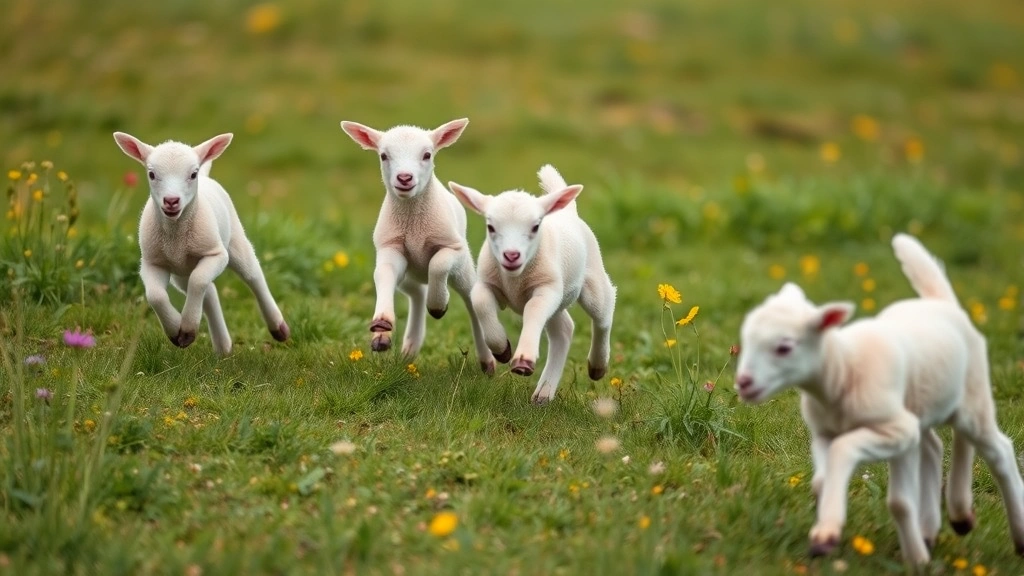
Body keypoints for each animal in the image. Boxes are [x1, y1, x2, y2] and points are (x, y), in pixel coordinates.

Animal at [112, 131, 289, 356]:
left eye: (192, 174)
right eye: (151, 174)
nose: (171, 201)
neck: (176, 234)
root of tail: (207, 176)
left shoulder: (216, 254)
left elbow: (198, 281)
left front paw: (187, 328)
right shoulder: (152, 262)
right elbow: (156, 296)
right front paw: (177, 331)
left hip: (235, 241)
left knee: (253, 276)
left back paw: (279, 328)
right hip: (181, 272)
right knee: (209, 290)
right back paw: (223, 347)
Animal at [339, 118, 491, 364]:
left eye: (427, 155)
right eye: (383, 155)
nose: (404, 178)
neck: (414, 228)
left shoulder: (453, 247)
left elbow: (438, 264)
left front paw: (438, 305)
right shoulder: (390, 247)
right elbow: (383, 274)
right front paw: (382, 324)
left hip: (464, 268)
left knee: (470, 300)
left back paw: (488, 358)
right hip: (410, 275)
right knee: (416, 294)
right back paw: (405, 346)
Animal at [449, 164, 616, 404]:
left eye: (536, 227)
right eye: (490, 227)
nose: (511, 255)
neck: (515, 279)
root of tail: (568, 212)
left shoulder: (547, 288)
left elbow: (533, 310)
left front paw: (523, 360)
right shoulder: (486, 282)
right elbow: (480, 303)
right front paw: (502, 349)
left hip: (592, 279)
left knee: (604, 313)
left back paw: (597, 366)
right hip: (559, 301)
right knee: (563, 330)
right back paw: (544, 393)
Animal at [734, 233, 1024, 565]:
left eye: (784, 347)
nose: (743, 383)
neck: (842, 372)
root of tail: (942, 303)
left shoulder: (893, 429)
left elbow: (851, 458)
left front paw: (830, 536)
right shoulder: (826, 434)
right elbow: (823, 479)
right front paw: (827, 524)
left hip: (972, 395)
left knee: (998, 450)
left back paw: (1013, 536)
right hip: (925, 401)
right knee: (936, 446)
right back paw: (948, 521)